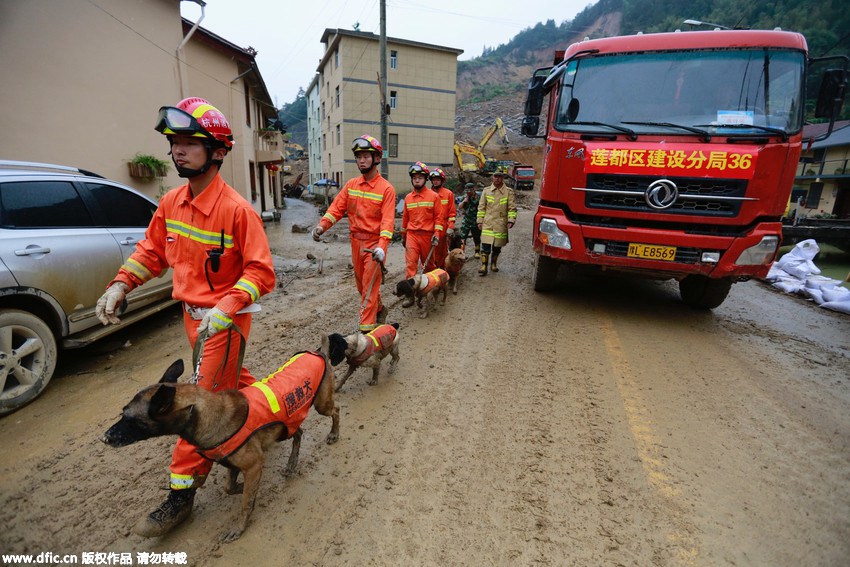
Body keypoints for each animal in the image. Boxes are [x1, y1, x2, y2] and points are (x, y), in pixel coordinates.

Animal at [99, 340, 338, 544]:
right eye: (122, 414)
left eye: (131, 420)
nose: (104, 437)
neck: (206, 413)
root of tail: (316, 352)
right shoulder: (232, 463)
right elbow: (229, 488)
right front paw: (242, 488)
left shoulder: (253, 465)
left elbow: (245, 503)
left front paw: (239, 526)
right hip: (287, 424)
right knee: (298, 433)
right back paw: (291, 463)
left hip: (321, 404)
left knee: (335, 411)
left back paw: (334, 434)